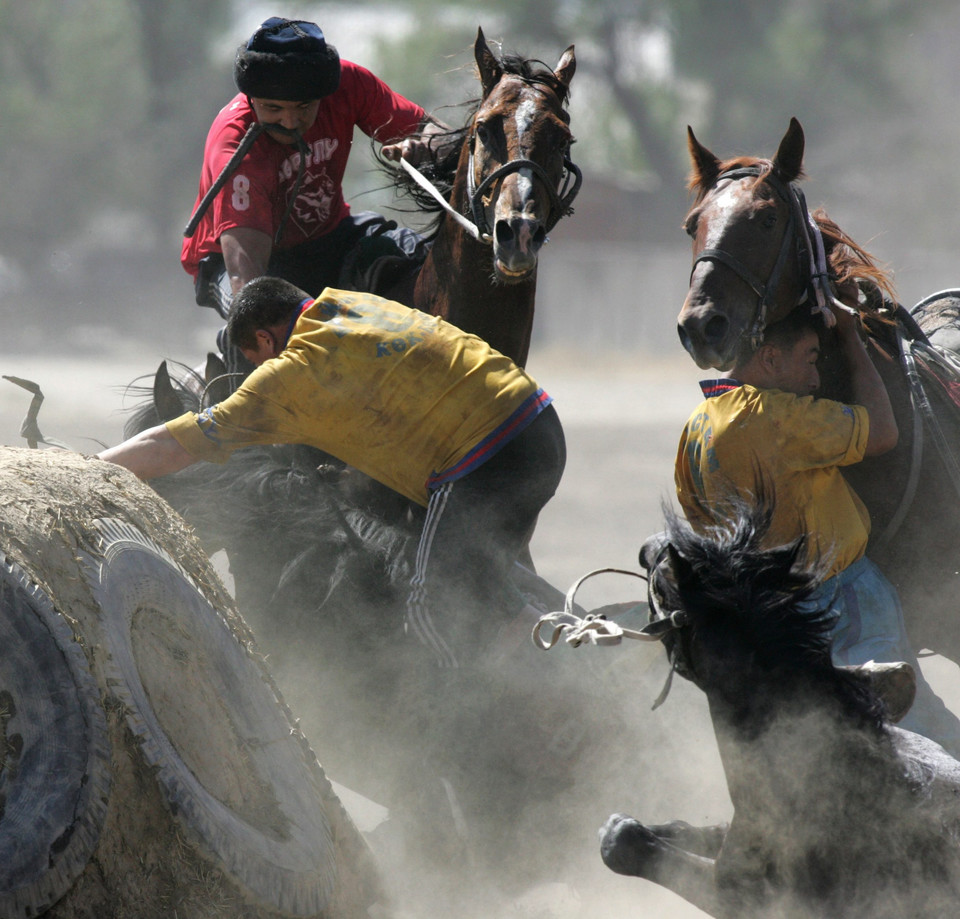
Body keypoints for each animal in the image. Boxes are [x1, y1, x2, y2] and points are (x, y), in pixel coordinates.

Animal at [604, 506, 960, 919]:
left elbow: (628, 845)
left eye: (663, 582)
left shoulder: (740, 894)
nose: (647, 546)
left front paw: (616, 827)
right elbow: (687, 830)